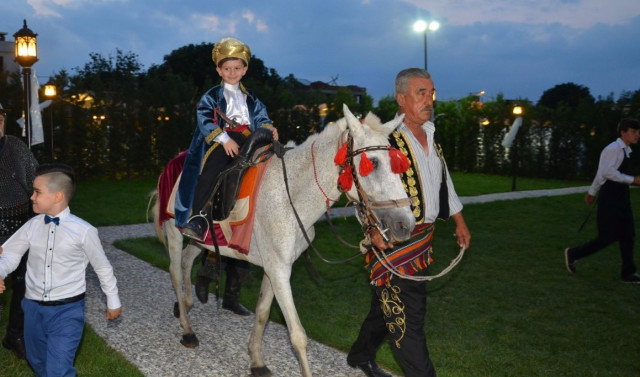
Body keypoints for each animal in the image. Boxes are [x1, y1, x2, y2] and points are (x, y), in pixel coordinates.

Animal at [153, 103, 418, 376]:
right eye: (373, 163)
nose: (405, 224)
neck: (289, 195)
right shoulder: (279, 271)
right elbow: (298, 335)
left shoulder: (275, 268)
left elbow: (262, 312)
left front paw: (256, 361)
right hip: (175, 231)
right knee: (175, 272)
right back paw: (187, 330)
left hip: (201, 241)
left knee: (186, 262)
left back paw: (185, 305)